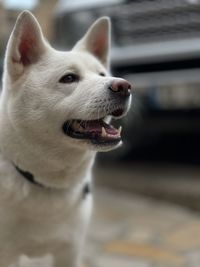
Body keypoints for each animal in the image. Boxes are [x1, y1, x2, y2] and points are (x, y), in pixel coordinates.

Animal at [0, 11, 131, 267]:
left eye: (102, 74)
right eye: (69, 78)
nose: (124, 86)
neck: (48, 183)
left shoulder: (69, 251)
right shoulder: (7, 255)